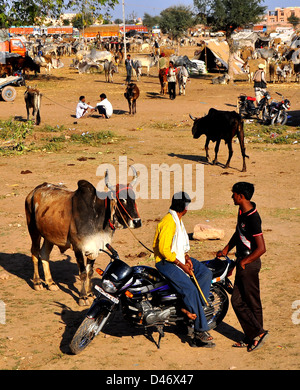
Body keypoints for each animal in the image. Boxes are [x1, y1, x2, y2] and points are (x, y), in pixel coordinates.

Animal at [24, 169, 141, 306]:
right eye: (122, 199)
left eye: (134, 198)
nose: (137, 222)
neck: (97, 215)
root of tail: (34, 191)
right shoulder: (78, 248)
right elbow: (83, 273)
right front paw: (83, 297)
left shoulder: (96, 247)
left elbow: (90, 271)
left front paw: (90, 294)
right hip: (33, 230)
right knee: (35, 253)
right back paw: (37, 282)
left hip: (49, 236)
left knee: (44, 254)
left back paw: (51, 283)